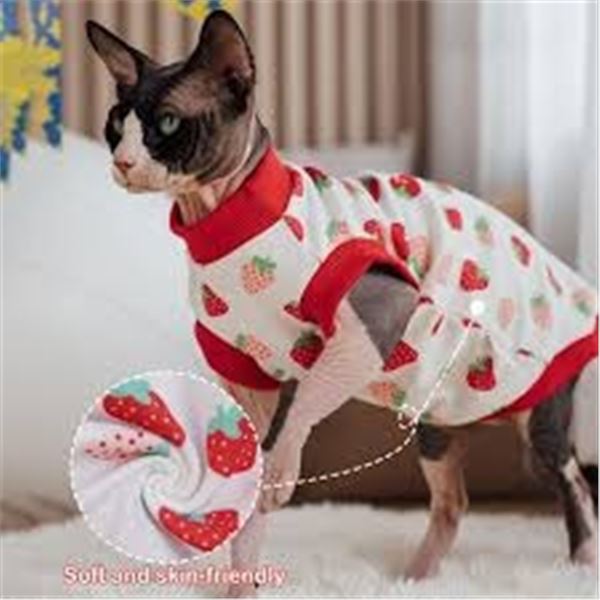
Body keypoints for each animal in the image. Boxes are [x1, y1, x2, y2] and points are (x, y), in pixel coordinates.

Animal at [87, 10, 598, 597]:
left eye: (168, 124)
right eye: (115, 123)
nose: (123, 162)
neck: (221, 218)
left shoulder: (380, 312)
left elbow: (303, 403)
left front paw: (280, 473)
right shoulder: (239, 367)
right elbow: (251, 471)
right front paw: (243, 582)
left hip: (537, 419)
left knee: (572, 478)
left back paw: (582, 564)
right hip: (434, 422)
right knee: (454, 502)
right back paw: (416, 579)